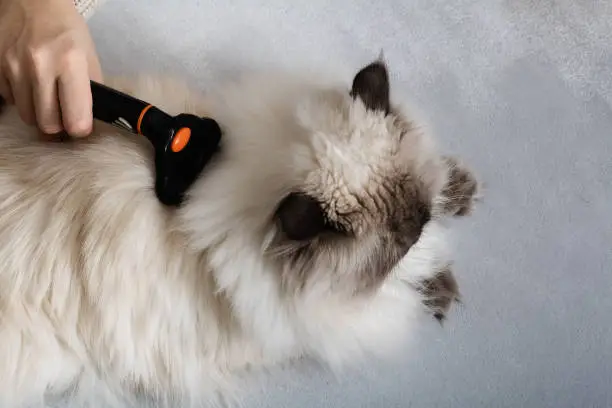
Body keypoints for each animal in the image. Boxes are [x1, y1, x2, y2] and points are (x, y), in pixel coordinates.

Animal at [0, 58, 478, 408]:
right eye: (400, 239)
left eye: (417, 218)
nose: (418, 226)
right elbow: (402, 293)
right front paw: (439, 288)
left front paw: (461, 193)